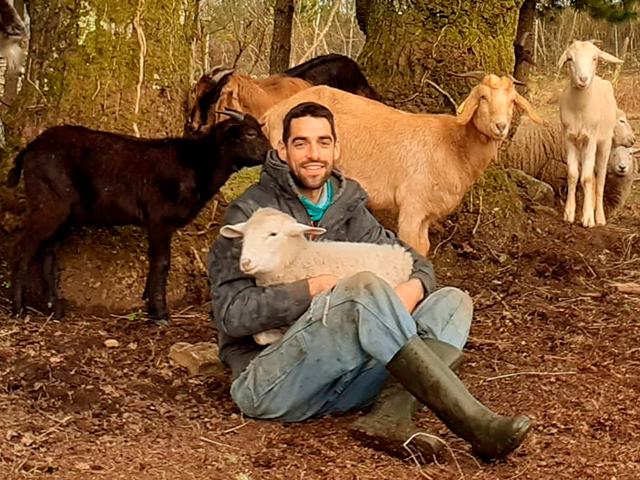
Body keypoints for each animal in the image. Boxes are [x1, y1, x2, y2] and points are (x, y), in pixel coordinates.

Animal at [9, 110, 270, 324]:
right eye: (250, 133)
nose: (270, 153)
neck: (195, 163)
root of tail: (30, 149)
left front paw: (150, 305)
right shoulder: (159, 220)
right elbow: (162, 262)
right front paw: (160, 313)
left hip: (63, 215)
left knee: (48, 253)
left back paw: (54, 308)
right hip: (49, 205)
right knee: (23, 248)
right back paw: (18, 309)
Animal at [218, 206, 412, 344]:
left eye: (273, 234)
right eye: (244, 235)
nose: (246, 262)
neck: (299, 258)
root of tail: (402, 254)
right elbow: (259, 337)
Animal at [258, 75, 540, 255]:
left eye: (512, 101)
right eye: (482, 98)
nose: (501, 126)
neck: (453, 144)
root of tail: (272, 112)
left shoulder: (426, 213)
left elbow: (424, 248)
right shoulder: (412, 205)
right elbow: (412, 245)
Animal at [556, 40, 624, 228]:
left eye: (594, 58)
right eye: (570, 59)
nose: (583, 79)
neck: (580, 110)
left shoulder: (591, 139)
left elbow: (586, 179)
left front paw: (588, 219)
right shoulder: (569, 139)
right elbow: (573, 175)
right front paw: (569, 214)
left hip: (604, 143)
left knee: (599, 179)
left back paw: (599, 217)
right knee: (593, 178)